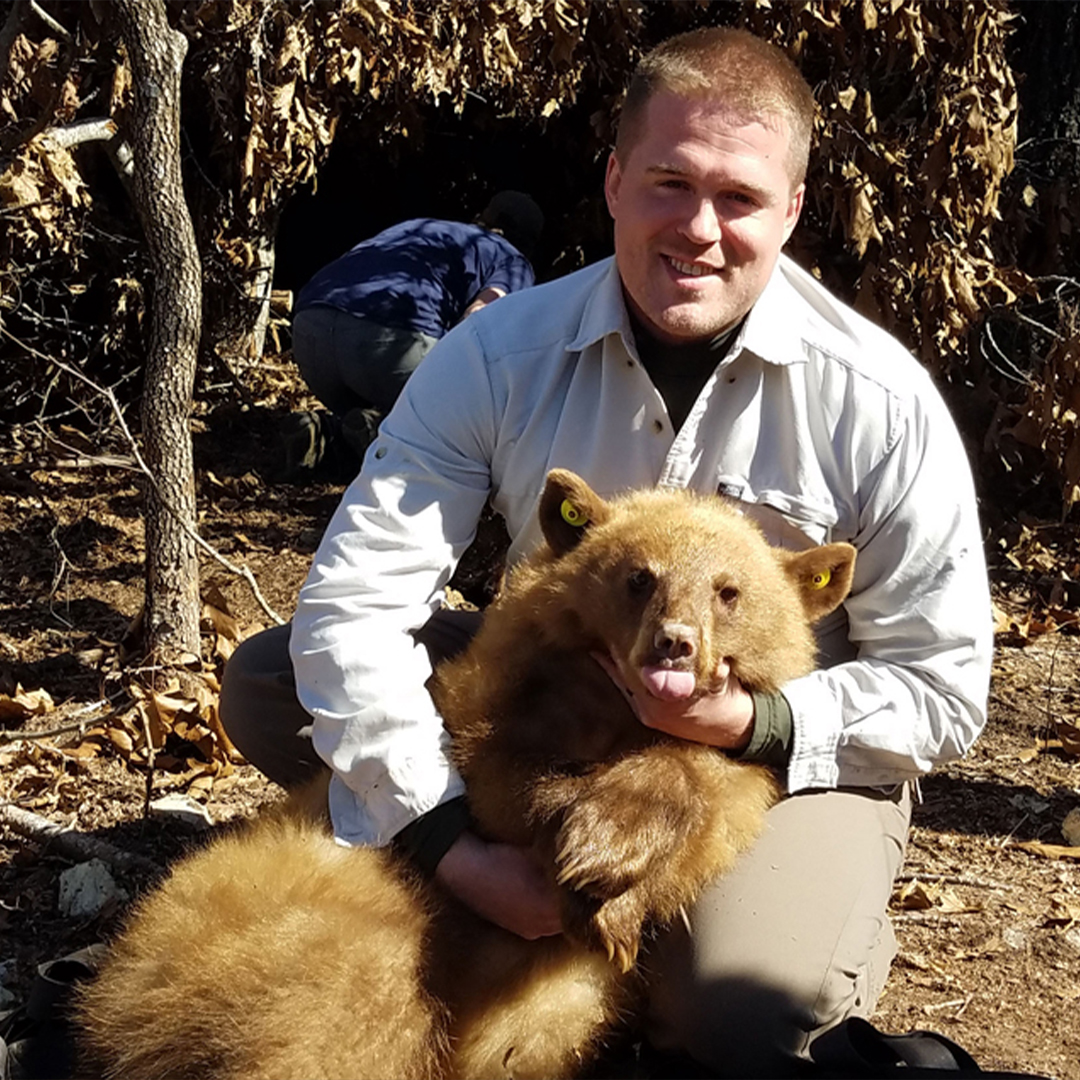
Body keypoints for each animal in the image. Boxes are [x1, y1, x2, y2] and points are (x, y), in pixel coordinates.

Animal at [76, 469, 856, 1080]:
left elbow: (713, 790)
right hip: (301, 920)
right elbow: (494, 773)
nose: (675, 644)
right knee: (338, 1014)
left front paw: (613, 861)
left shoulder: (736, 755)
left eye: (729, 592)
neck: (608, 712)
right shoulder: (492, 702)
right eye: (640, 577)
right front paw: (589, 854)